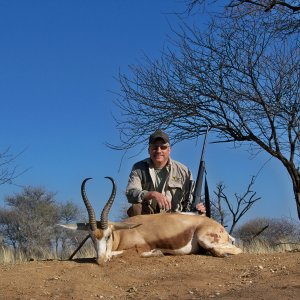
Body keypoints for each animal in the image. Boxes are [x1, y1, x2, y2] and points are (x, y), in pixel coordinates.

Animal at [60, 177, 241, 264]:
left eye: (108, 235)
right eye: (91, 237)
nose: (100, 260)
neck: (124, 233)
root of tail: (220, 227)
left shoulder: (138, 249)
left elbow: (116, 253)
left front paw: (157, 253)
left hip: (207, 239)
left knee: (235, 250)